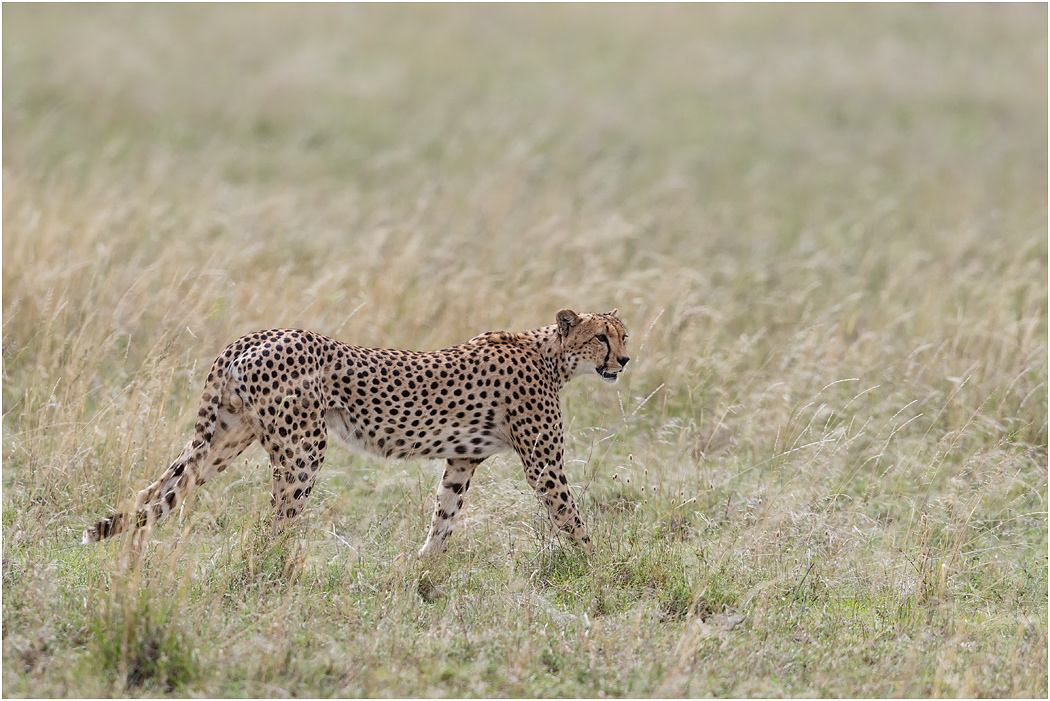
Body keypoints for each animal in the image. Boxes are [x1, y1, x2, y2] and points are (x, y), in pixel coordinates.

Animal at [82, 309, 630, 559]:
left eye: (623, 335)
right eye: (601, 337)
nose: (625, 360)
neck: (552, 356)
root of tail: (250, 336)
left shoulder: (461, 460)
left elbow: (444, 514)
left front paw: (425, 566)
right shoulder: (544, 465)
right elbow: (571, 519)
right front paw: (597, 567)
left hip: (224, 440)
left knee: (156, 491)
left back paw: (126, 549)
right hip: (303, 449)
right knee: (276, 522)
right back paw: (280, 572)